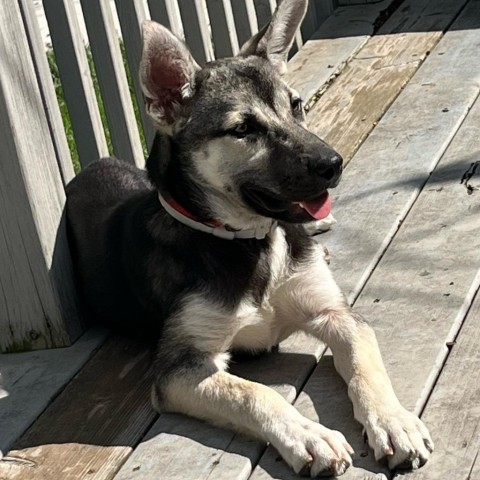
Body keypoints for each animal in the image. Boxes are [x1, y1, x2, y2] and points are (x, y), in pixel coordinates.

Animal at [65, 0, 434, 476]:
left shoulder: (337, 315)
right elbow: (254, 393)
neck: (250, 242)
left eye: (296, 105)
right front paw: (309, 436)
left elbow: (365, 361)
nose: (333, 164)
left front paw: (393, 421)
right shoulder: (181, 368)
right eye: (242, 129)